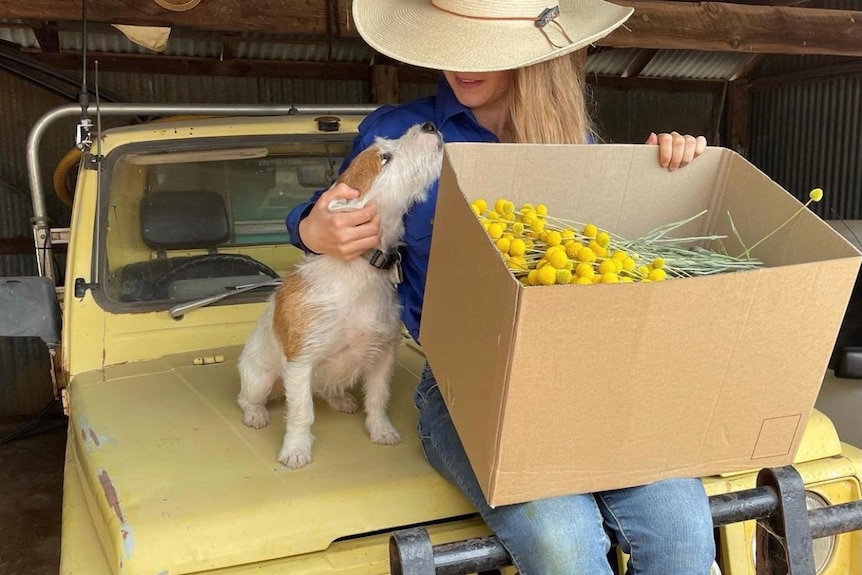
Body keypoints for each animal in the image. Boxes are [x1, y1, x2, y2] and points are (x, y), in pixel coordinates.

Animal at [238, 121, 446, 468]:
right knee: (248, 398)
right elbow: (301, 412)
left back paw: (340, 399)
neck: (362, 267)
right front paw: (296, 449)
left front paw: (380, 430)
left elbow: (377, 398)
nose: (429, 124)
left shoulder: (383, 356)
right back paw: (256, 414)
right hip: (260, 377)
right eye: (385, 157)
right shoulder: (300, 362)